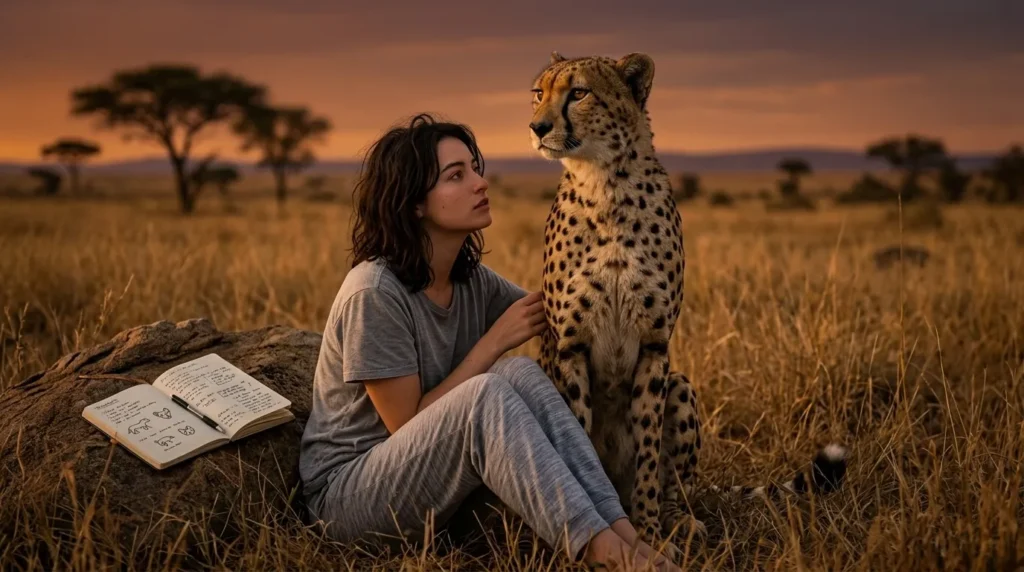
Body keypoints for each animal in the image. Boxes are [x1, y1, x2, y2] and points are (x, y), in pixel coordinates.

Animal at [528, 50, 849, 553]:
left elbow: (647, 453)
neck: (607, 186)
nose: (536, 127)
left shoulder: (655, 346)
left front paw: (649, 534)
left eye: (578, 93)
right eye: (538, 93)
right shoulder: (570, 348)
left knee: (675, 483)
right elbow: (576, 438)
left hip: (681, 385)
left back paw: (679, 520)